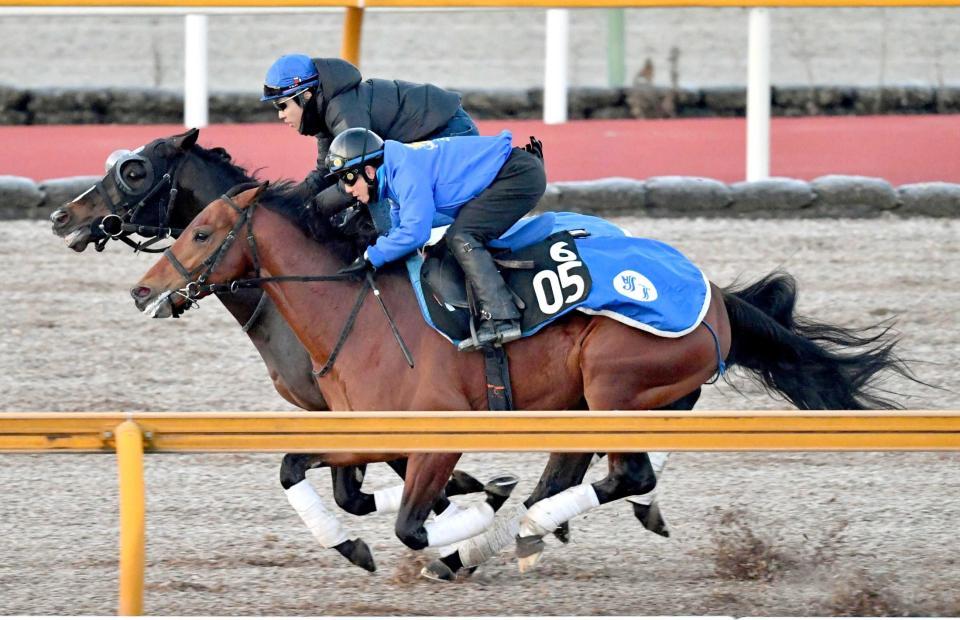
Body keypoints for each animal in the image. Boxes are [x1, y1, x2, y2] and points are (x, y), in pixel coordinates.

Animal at [131, 180, 912, 572]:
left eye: (201, 232)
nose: (142, 291)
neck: (357, 311)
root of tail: (715, 296)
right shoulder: (362, 429)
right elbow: (303, 471)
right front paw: (358, 542)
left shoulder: (436, 434)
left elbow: (413, 524)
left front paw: (468, 532)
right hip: (594, 400)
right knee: (591, 471)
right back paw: (537, 521)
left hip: (613, 382)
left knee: (624, 472)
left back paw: (525, 526)